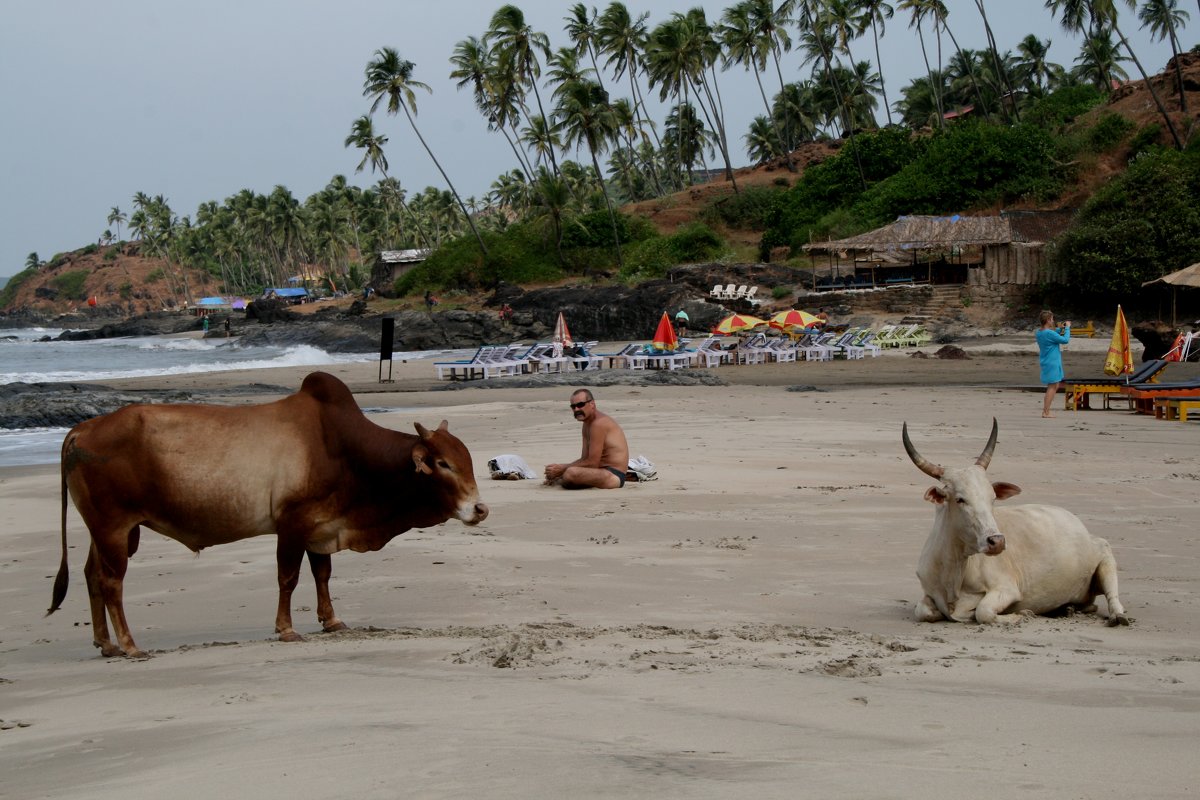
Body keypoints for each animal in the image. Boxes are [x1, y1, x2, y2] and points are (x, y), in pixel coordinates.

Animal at [46, 369, 487, 657]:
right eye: (443, 464)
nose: (480, 509)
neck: (344, 450)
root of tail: (82, 429)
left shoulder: (321, 526)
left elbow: (322, 574)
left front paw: (331, 621)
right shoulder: (292, 524)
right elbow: (288, 579)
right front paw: (287, 630)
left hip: (107, 530)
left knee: (90, 575)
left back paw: (105, 644)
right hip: (114, 527)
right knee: (111, 582)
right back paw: (130, 645)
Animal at [902, 419, 1128, 623]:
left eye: (992, 498)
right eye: (960, 499)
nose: (997, 542)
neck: (953, 573)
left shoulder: (1007, 588)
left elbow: (983, 612)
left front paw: (1020, 615)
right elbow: (923, 611)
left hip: (1105, 556)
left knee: (1112, 595)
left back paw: (1117, 616)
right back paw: (1067, 609)